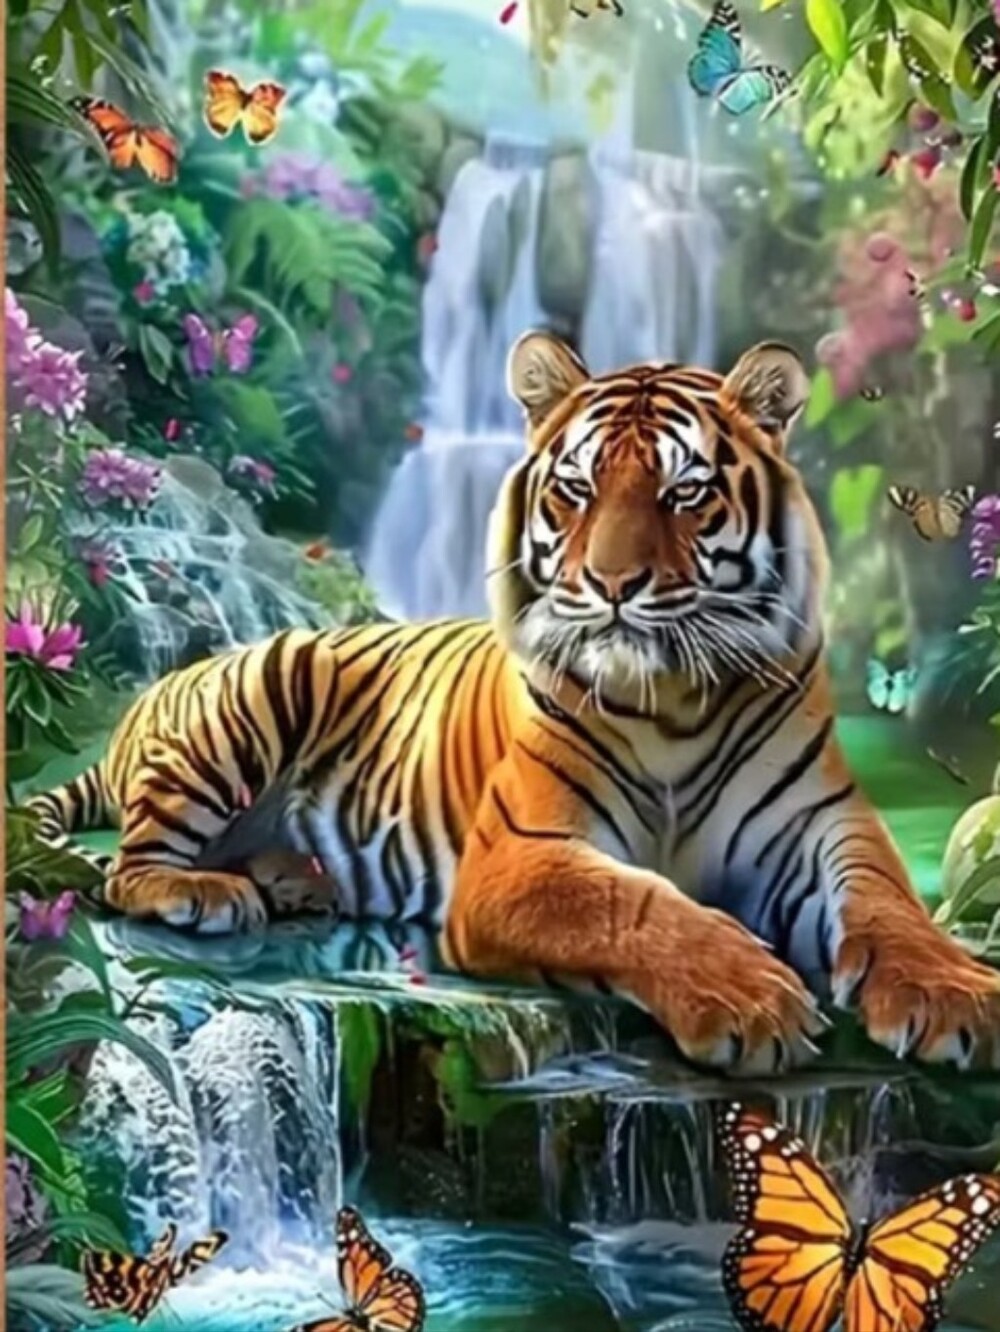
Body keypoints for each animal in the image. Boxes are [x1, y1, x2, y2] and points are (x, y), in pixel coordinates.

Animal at [28, 331, 1000, 1074]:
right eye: (576, 489)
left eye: (684, 492)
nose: (612, 584)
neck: (676, 700)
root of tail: (157, 693)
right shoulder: (524, 853)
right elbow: (638, 906)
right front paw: (750, 999)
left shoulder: (820, 826)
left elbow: (887, 900)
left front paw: (954, 993)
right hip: (259, 694)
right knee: (128, 866)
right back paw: (202, 890)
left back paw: (291, 878)